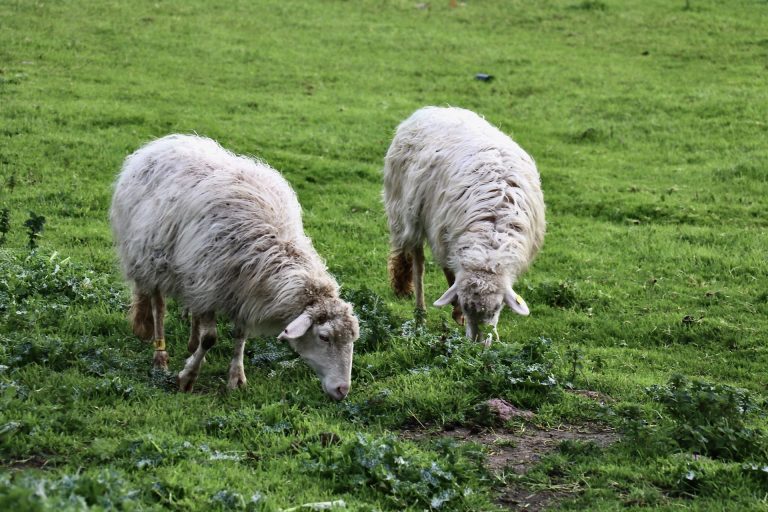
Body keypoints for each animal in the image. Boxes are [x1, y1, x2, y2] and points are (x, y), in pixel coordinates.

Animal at [110, 135, 360, 400]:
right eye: (324, 337)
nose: (342, 390)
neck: (272, 245)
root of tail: (163, 143)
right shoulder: (212, 284)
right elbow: (210, 338)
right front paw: (187, 377)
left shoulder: (238, 291)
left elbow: (240, 336)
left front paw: (236, 377)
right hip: (152, 260)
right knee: (158, 308)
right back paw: (161, 358)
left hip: (192, 272)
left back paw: (191, 345)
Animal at [384, 105, 544, 344]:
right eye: (468, 307)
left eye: (498, 308)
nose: (478, 345)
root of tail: (433, 109)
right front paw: (457, 310)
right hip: (408, 212)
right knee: (417, 260)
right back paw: (419, 310)